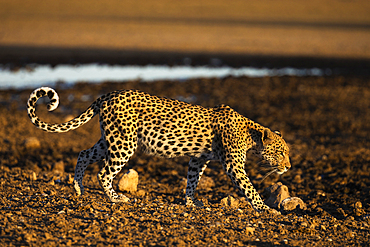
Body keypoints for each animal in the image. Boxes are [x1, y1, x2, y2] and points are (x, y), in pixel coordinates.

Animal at [27, 87, 290, 212]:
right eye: (280, 152)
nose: (288, 167)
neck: (250, 135)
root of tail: (108, 94)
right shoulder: (234, 166)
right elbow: (250, 188)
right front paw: (265, 209)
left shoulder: (199, 158)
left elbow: (192, 180)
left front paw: (190, 202)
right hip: (124, 144)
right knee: (104, 173)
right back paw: (116, 198)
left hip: (110, 140)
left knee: (83, 154)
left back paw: (78, 188)